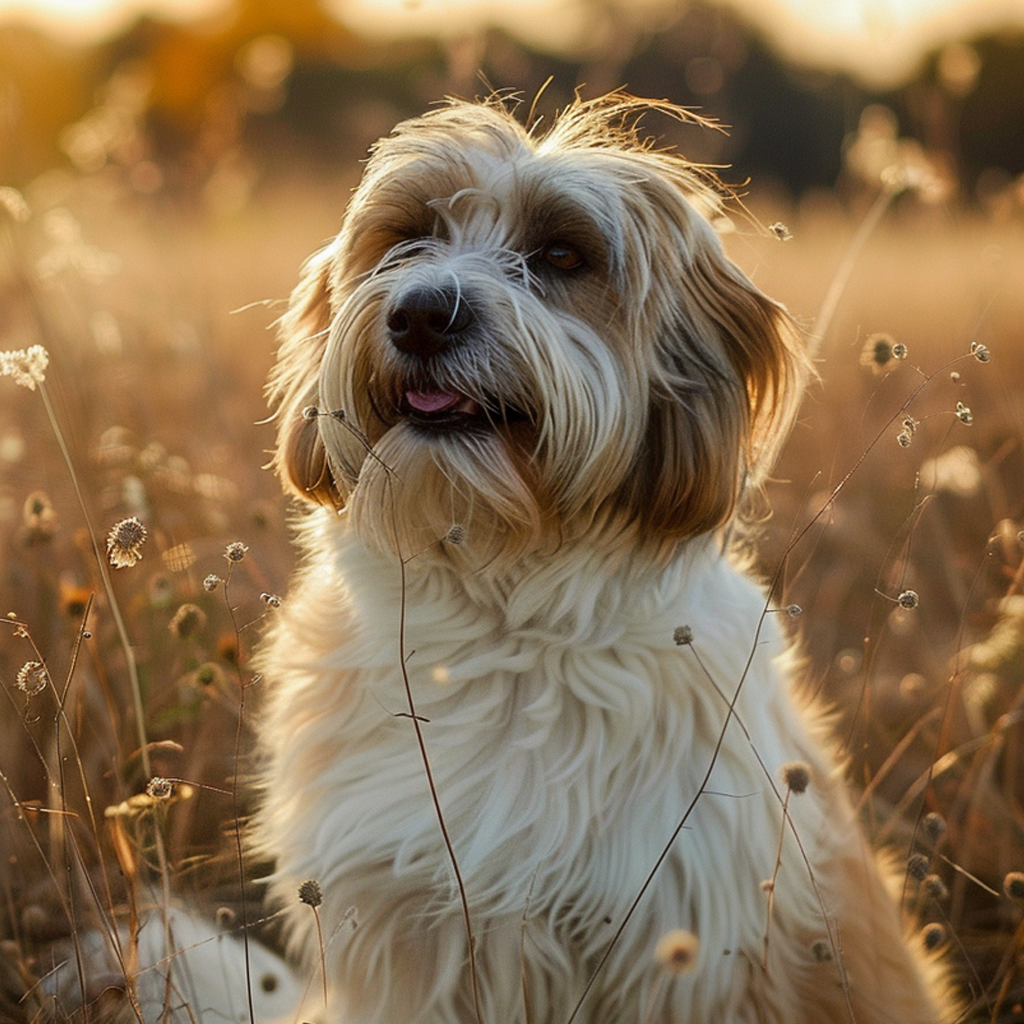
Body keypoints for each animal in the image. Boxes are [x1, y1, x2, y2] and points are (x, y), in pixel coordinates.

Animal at [249, 94, 950, 1024]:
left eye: (560, 255)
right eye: (409, 239)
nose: (421, 313)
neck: (504, 618)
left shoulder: (679, 942)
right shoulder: (400, 942)